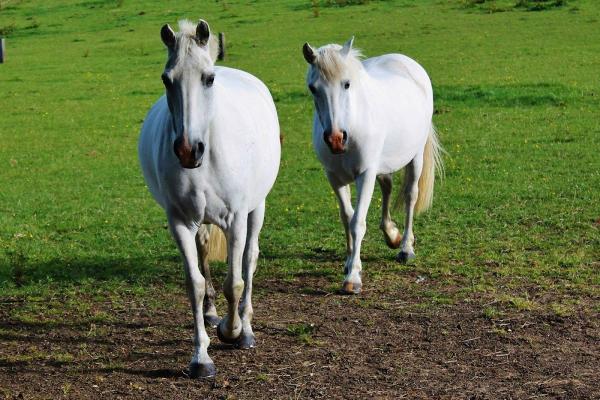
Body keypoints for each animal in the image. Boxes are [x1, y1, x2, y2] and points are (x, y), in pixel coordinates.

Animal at [139, 21, 282, 378]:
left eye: (208, 78)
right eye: (167, 79)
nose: (188, 150)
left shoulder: (236, 219)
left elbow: (235, 280)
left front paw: (233, 332)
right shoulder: (180, 222)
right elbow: (196, 283)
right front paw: (200, 358)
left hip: (257, 208)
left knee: (249, 260)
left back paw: (245, 327)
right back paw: (212, 312)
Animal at [302, 36, 442, 294]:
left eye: (346, 84)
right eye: (313, 88)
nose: (336, 138)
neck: (353, 121)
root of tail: (406, 61)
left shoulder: (365, 174)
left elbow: (358, 222)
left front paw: (353, 278)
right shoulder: (334, 177)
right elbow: (347, 216)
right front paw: (349, 262)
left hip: (415, 157)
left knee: (410, 195)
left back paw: (405, 247)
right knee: (387, 186)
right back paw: (392, 235)